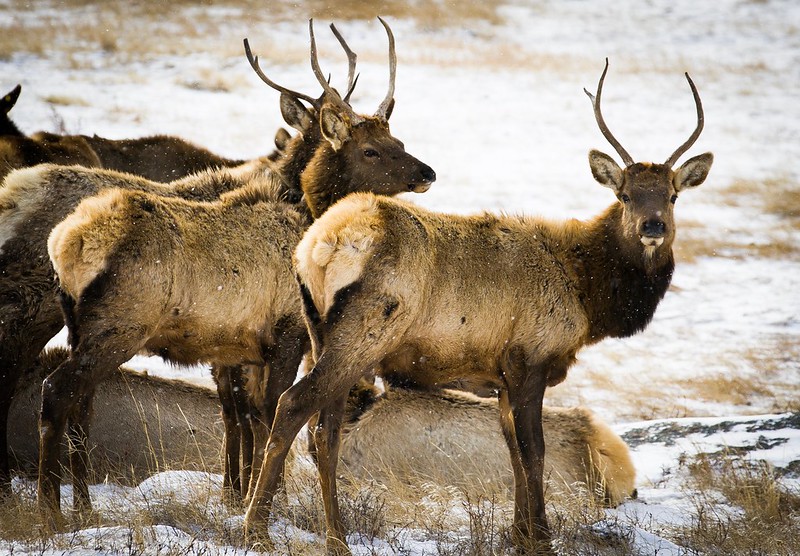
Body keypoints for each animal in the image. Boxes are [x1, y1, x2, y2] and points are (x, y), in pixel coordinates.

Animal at [39, 18, 435, 524]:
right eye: (370, 150)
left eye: (397, 141)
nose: (427, 172)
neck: (305, 211)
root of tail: (66, 242)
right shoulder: (286, 331)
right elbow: (268, 412)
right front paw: (263, 500)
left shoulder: (242, 346)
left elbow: (246, 414)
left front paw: (243, 494)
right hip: (119, 325)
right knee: (56, 391)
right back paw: (51, 511)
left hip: (80, 326)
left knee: (80, 404)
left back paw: (83, 506)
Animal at [243, 60, 713, 555]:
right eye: (624, 195)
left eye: (672, 195)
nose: (652, 227)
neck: (587, 294)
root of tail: (320, 245)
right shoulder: (530, 358)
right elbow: (533, 452)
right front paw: (540, 538)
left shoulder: (500, 375)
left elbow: (513, 452)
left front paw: (518, 533)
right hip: (364, 333)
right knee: (292, 405)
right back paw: (257, 528)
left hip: (322, 334)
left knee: (325, 434)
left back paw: (335, 537)